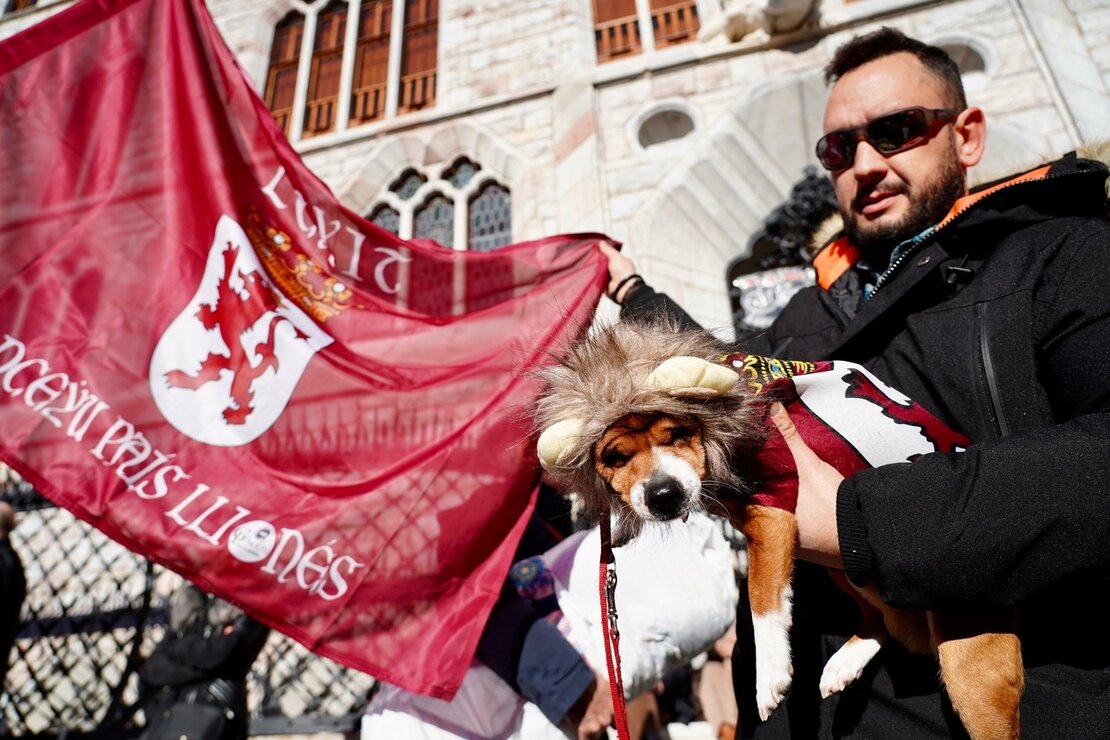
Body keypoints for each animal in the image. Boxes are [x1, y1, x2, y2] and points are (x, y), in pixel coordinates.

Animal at [535, 321, 1021, 740]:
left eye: (677, 433)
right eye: (615, 457)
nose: (663, 494)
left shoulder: (773, 508)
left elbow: (761, 599)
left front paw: (769, 673)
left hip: (969, 667)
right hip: (847, 570)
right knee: (889, 623)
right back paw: (848, 659)